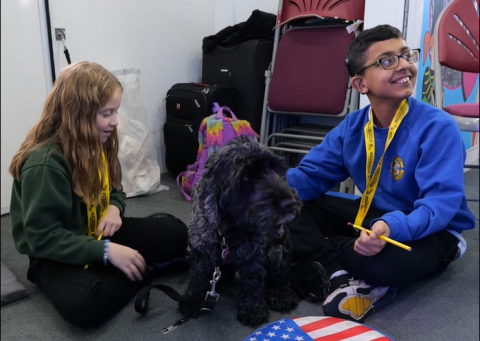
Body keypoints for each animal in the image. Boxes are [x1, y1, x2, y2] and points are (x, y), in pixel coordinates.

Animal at [178, 136, 302, 326]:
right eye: (247, 175)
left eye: (276, 170)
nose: (291, 203)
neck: (232, 231)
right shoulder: (203, 252)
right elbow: (198, 275)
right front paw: (192, 300)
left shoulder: (255, 256)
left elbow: (253, 282)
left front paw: (252, 309)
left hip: (279, 253)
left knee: (281, 277)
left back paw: (282, 295)